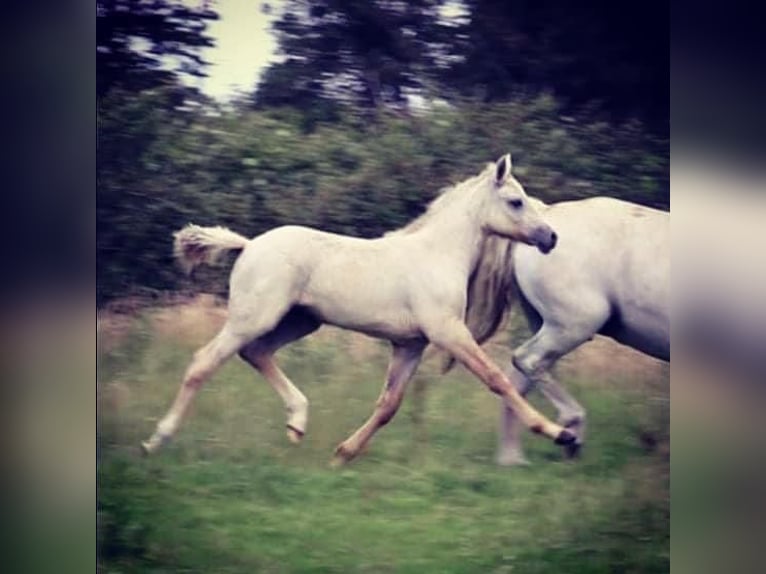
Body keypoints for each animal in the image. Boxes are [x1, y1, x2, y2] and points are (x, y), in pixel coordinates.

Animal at [142, 155, 576, 466]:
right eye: (515, 201)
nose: (551, 237)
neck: (437, 255)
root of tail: (248, 245)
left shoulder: (410, 344)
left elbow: (388, 405)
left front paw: (343, 454)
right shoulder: (448, 332)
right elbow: (496, 379)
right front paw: (558, 432)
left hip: (300, 321)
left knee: (256, 353)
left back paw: (297, 422)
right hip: (254, 318)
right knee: (204, 362)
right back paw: (157, 439)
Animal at [448, 196, 668, 466]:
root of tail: (545, 213)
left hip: (550, 326)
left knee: (516, 381)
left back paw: (513, 459)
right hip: (573, 325)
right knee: (527, 361)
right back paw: (571, 430)